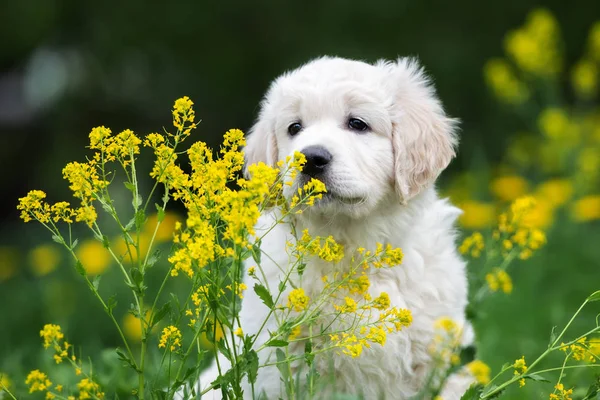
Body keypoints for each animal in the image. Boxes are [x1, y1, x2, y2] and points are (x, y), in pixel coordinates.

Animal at [195, 57, 472, 400]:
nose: (310, 158)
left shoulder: (437, 353)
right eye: (295, 128)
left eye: (357, 124)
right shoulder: (282, 360)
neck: (351, 245)